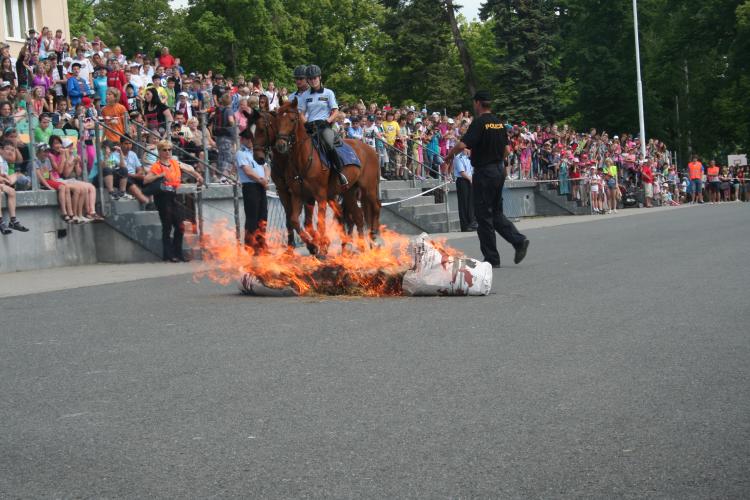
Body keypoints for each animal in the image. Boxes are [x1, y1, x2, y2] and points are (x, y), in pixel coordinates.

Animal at [274, 98, 384, 254]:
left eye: (292, 119)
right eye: (277, 119)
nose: (281, 145)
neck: (303, 158)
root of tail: (370, 149)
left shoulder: (320, 196)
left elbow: (319, 223)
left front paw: (321, 248)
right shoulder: (298, 195)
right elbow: (296, 221)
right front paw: (313, 245)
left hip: (369, 188)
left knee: (376, 206)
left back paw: (374, 238)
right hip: (349, 191)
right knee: (358, 215)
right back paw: (361, 246)